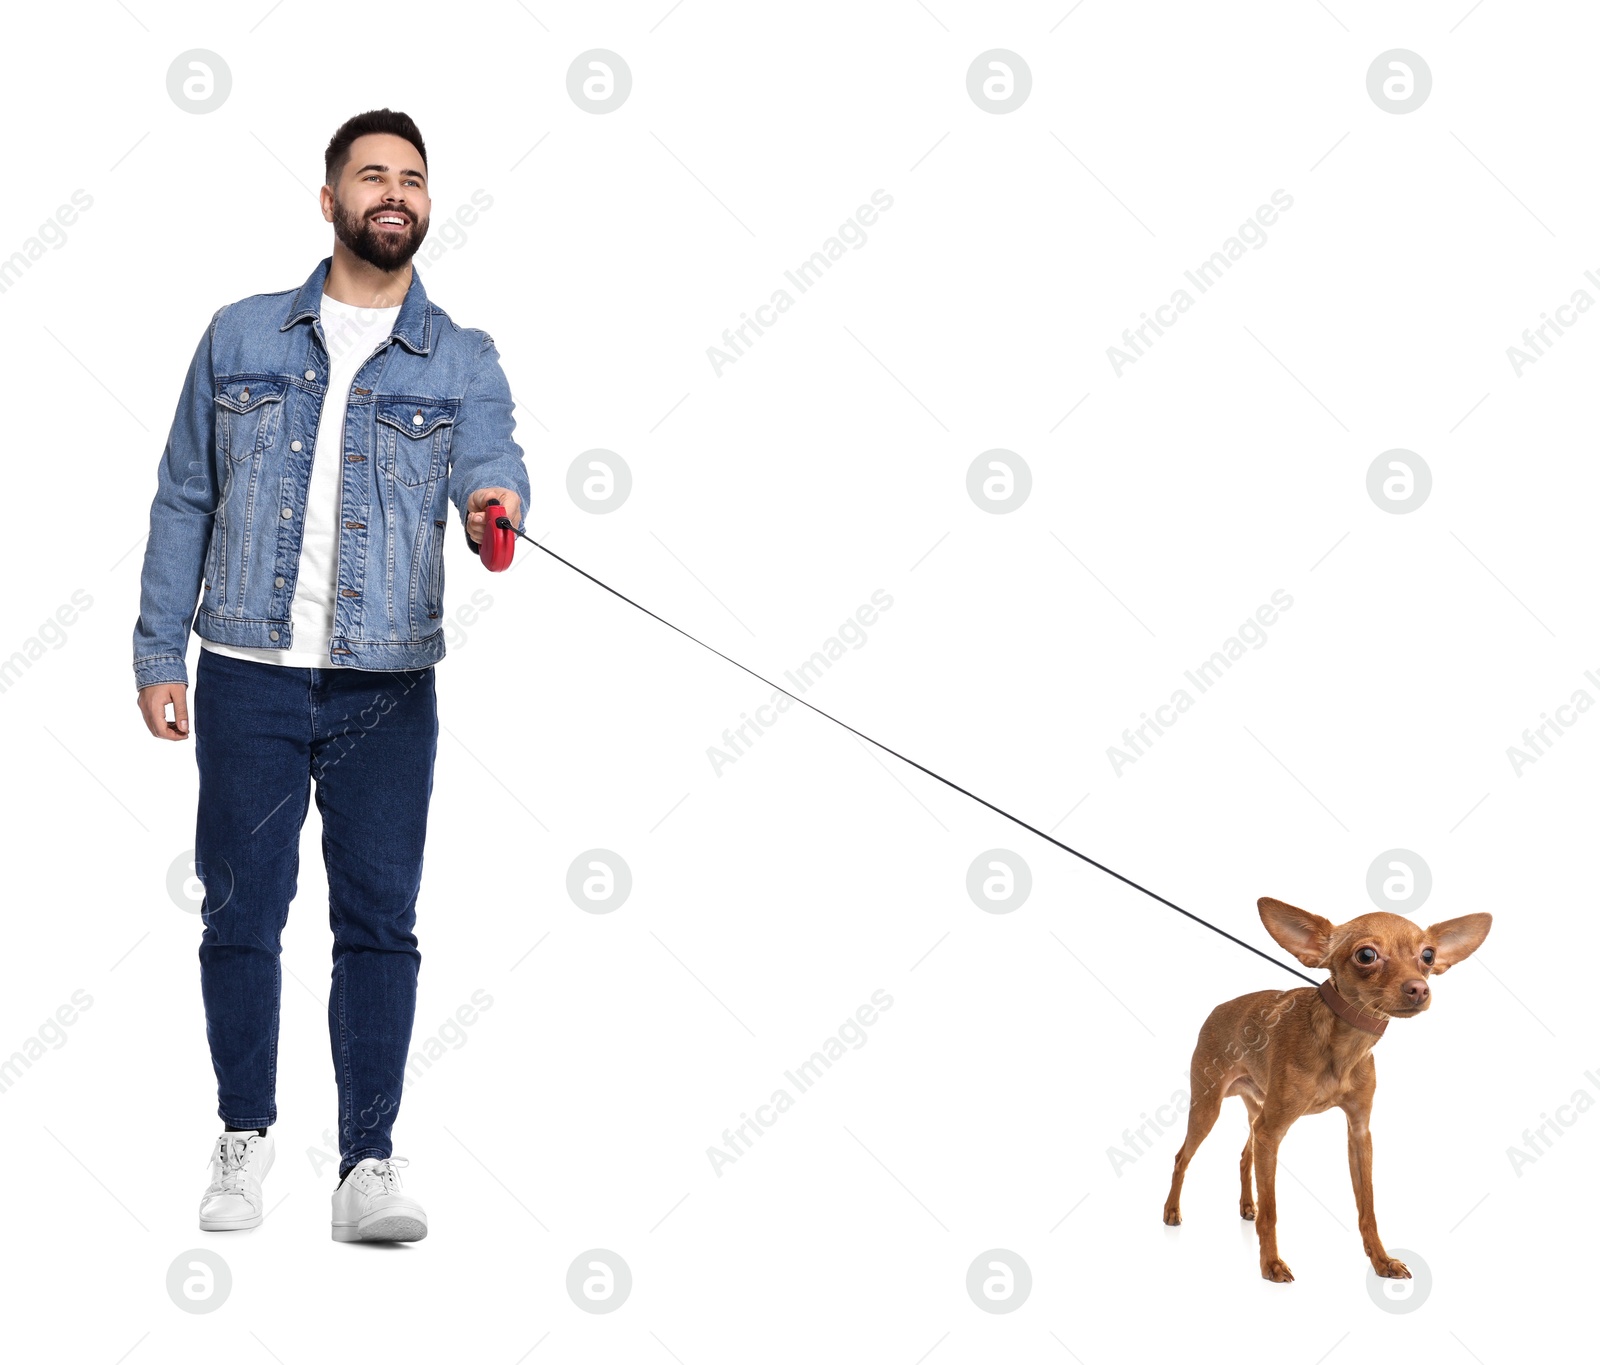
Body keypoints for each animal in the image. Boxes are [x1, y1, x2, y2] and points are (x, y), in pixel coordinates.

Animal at [1164, 896, 1484, 1280]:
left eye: (1428, 956)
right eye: (1366, 955)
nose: (1419, 988)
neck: (1344, 1045)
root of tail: (1216, 1009)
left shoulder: (1358, 1133)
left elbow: (1367, 1207)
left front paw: (1381, 1259)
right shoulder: (1273, 1131)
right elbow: (1273, 1211)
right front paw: (1271, 1263)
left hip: (1257, 1111)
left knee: (1244, 1156)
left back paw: (1246, 1206)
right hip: (1208, 1108)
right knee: (1182, 1157)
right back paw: (1171, 1211)